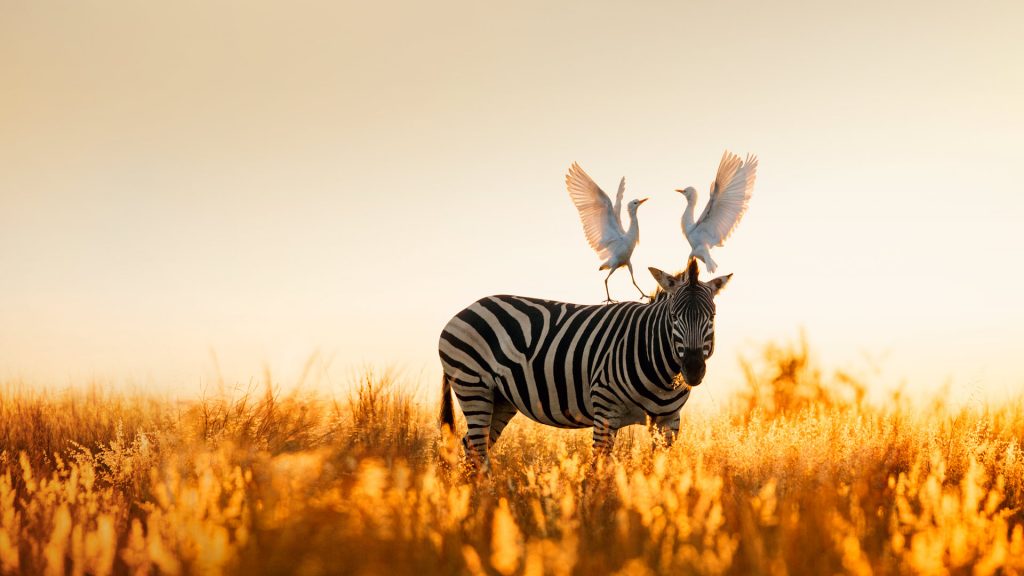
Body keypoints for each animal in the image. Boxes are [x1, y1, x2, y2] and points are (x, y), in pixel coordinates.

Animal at [436, 258, 733, 463]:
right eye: (674, 317)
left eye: (712, 316)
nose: (693, 371)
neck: (662, 373)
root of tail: (466, 309)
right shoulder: (605, 410)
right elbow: (598, 469)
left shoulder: (668, 422)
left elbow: (660, 475)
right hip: (473, 386)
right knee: (476, 449)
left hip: (500, 399)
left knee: (472, 447)